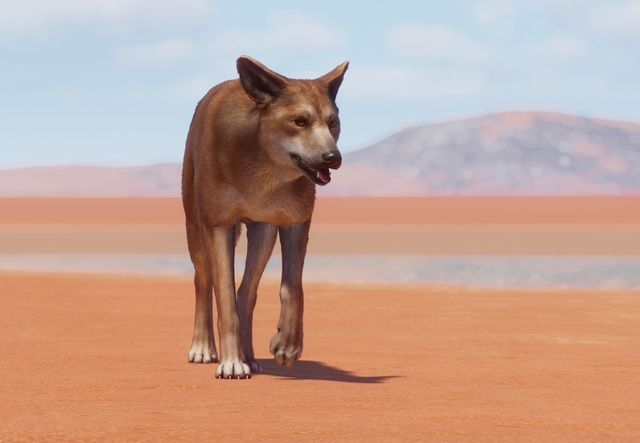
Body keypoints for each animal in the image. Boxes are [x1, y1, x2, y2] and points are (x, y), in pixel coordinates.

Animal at [180, 57, 350, 380]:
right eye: (300, 121)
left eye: (332, 122)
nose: (333, 158)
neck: (262, 173)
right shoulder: (218, 224)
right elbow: (224, 297)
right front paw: (231, 362)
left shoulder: (293, 220)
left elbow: (291, 288)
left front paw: (287, 345)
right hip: (195, 225)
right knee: (203, 280)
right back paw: (204, 347)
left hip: (264, 233)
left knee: (247, 293)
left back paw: (250, 354)